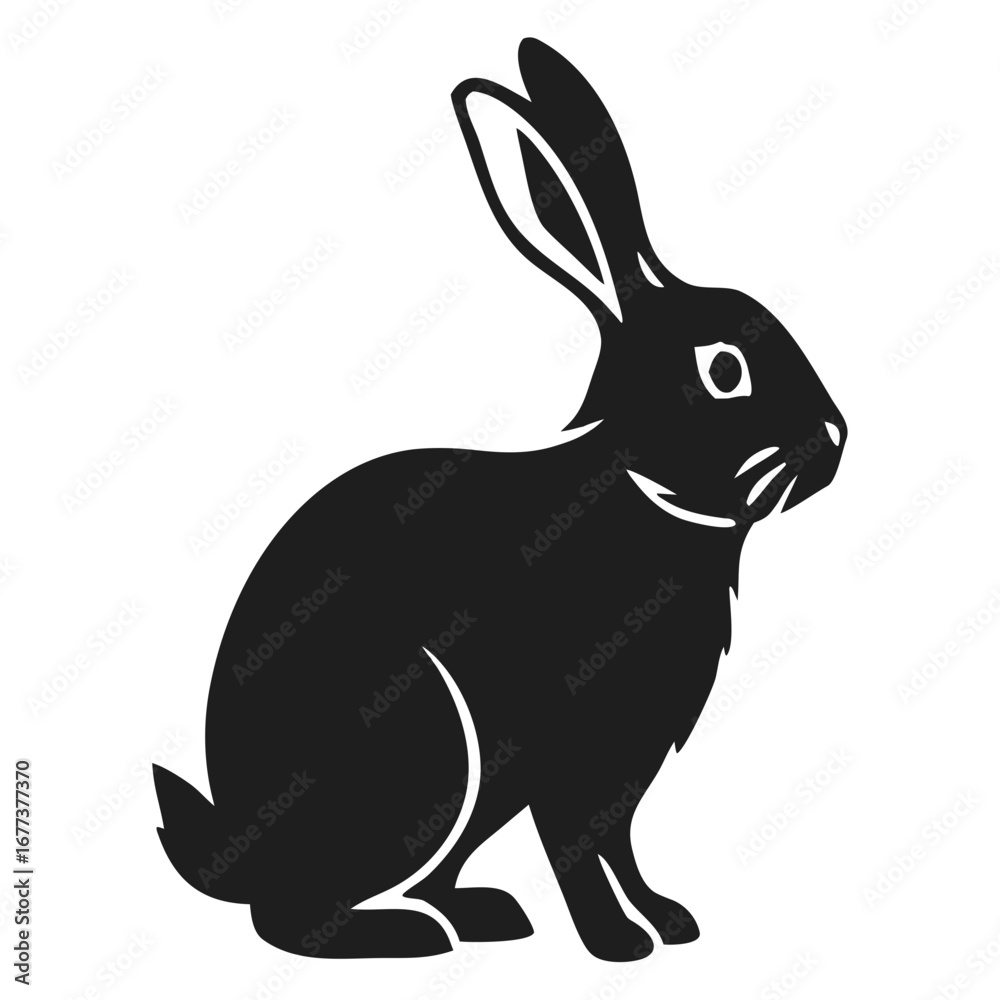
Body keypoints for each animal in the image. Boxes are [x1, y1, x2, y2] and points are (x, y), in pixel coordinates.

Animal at [154, 37, 846, 962]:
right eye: (724, 370)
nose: (836, 437)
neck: (644, 490)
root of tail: (232, 854)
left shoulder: (625, 764)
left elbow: (621, 846)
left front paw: (668, 921)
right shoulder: (571, 751)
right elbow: (579, 849)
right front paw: (617, 946)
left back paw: (483, 914)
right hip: (425, 756)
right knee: (291, 918)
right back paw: (413, 935)